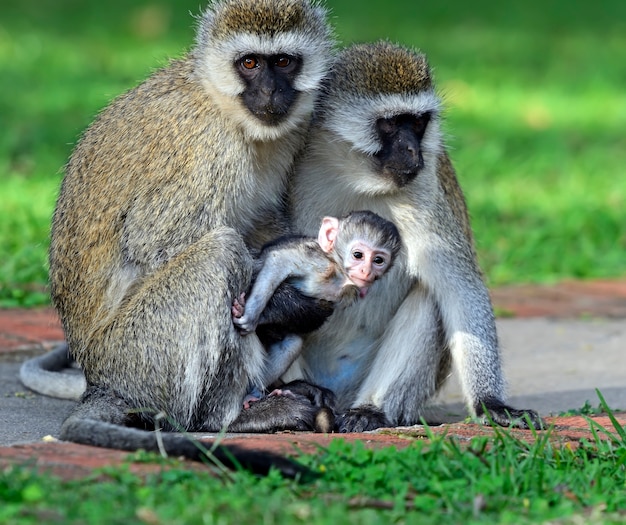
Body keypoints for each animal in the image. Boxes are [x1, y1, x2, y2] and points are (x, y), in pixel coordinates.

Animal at [46, 0, 334, 470]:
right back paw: (229, 417)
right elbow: (154, 240)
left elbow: (263, 225)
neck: (222, 105)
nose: (271, 93)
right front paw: (291, 303)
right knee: (219, 253)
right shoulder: (208, 152)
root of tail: (97, 376)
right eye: (250, 63)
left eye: (283, 62)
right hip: (138, 355)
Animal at [230, 211, 400, 408]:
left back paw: (256, 392)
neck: (339, 276)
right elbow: (278, 261)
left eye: (378, 260)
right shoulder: (319, 263)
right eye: (358, 255)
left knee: (290, 344)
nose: (366, 271)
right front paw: (251, 315)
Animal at [286, 41, 540, 432]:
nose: (412, 151)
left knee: (430, 297)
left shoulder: (424, 187)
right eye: (391, 124)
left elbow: (460, 289)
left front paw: (492, 402)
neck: (355, 178)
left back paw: (369, 410)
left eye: (418, 123)